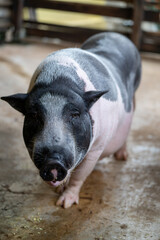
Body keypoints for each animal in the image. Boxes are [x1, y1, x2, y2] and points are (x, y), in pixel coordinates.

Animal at [1, 31, 141, 208]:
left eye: (75, 114)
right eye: (33, 115)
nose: (52, 162)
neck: (58, 80)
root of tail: (116, 34)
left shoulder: (96, 147)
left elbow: (79, 175)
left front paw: (63, 204)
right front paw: (59, 191)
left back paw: (122, 157)